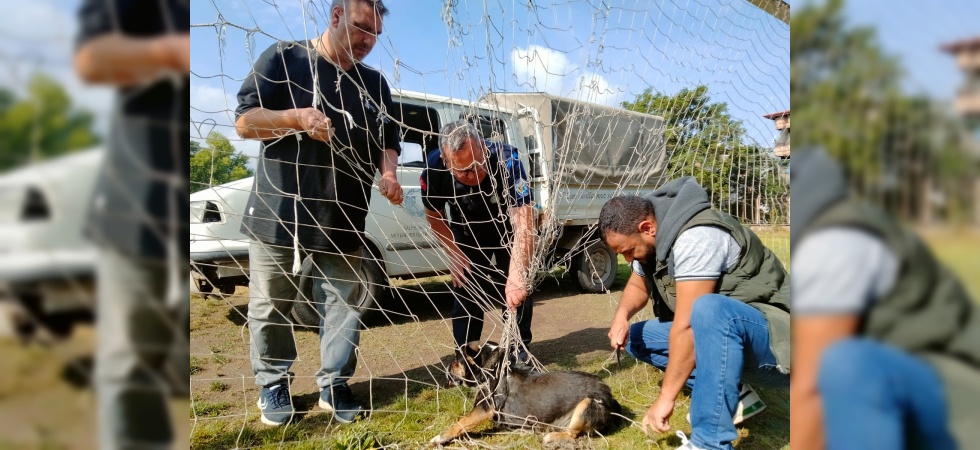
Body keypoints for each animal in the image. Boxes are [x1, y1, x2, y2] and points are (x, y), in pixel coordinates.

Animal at [428, 342, 620, 444]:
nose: (446, 369)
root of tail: (610, 398)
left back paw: (550, 436)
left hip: (587, 403)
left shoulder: (484, 408)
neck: (491, 368)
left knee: (573, 433)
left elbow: (460, 423)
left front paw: (439, 437)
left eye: (456, 361)